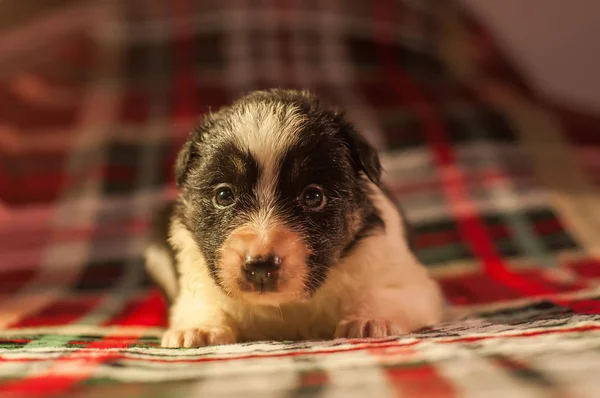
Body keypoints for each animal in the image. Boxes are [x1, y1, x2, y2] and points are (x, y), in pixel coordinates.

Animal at [145, 88, 446, 346]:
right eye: (223, 195)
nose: (261, 267)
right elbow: (204, 304)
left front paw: (371, 319)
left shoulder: (406, 279)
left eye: (313, 196)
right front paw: (198, 329)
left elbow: (389, 293)